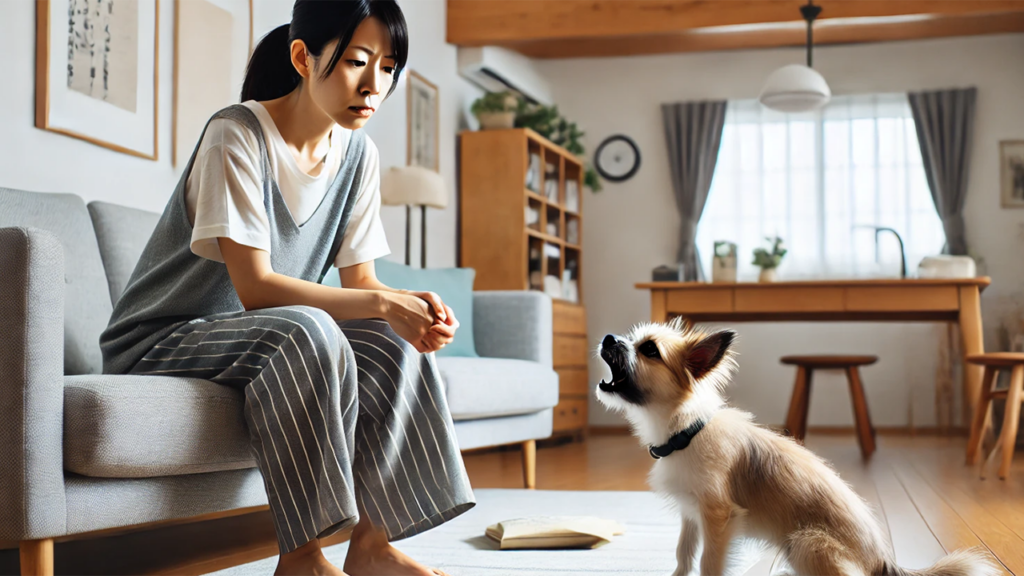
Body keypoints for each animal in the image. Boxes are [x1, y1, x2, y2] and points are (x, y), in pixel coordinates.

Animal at [598, 317, 995, 573]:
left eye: (649, 350)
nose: (607, 338)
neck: (686, 431)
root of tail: (885, 563)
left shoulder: (718, 518)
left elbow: (709, 564)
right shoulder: (690, 515)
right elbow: (683, 557)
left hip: (807, 542)